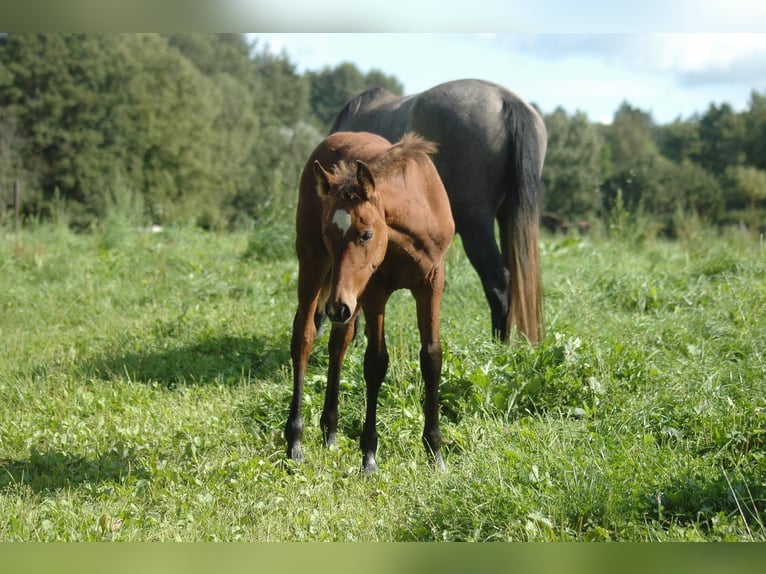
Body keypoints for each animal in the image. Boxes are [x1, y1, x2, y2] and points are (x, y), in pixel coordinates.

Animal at [285, 131, 455, 474]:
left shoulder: (432, 284)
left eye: (365, 235)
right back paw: (295, 441)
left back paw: (330, 432)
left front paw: (435, 451)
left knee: (338, 342)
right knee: (304, 338)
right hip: (316, 268)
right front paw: (369, 455)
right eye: (328, 234)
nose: (336, 307)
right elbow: (376, 363)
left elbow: (431, 356)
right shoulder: (376, 291)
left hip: (350, 297)